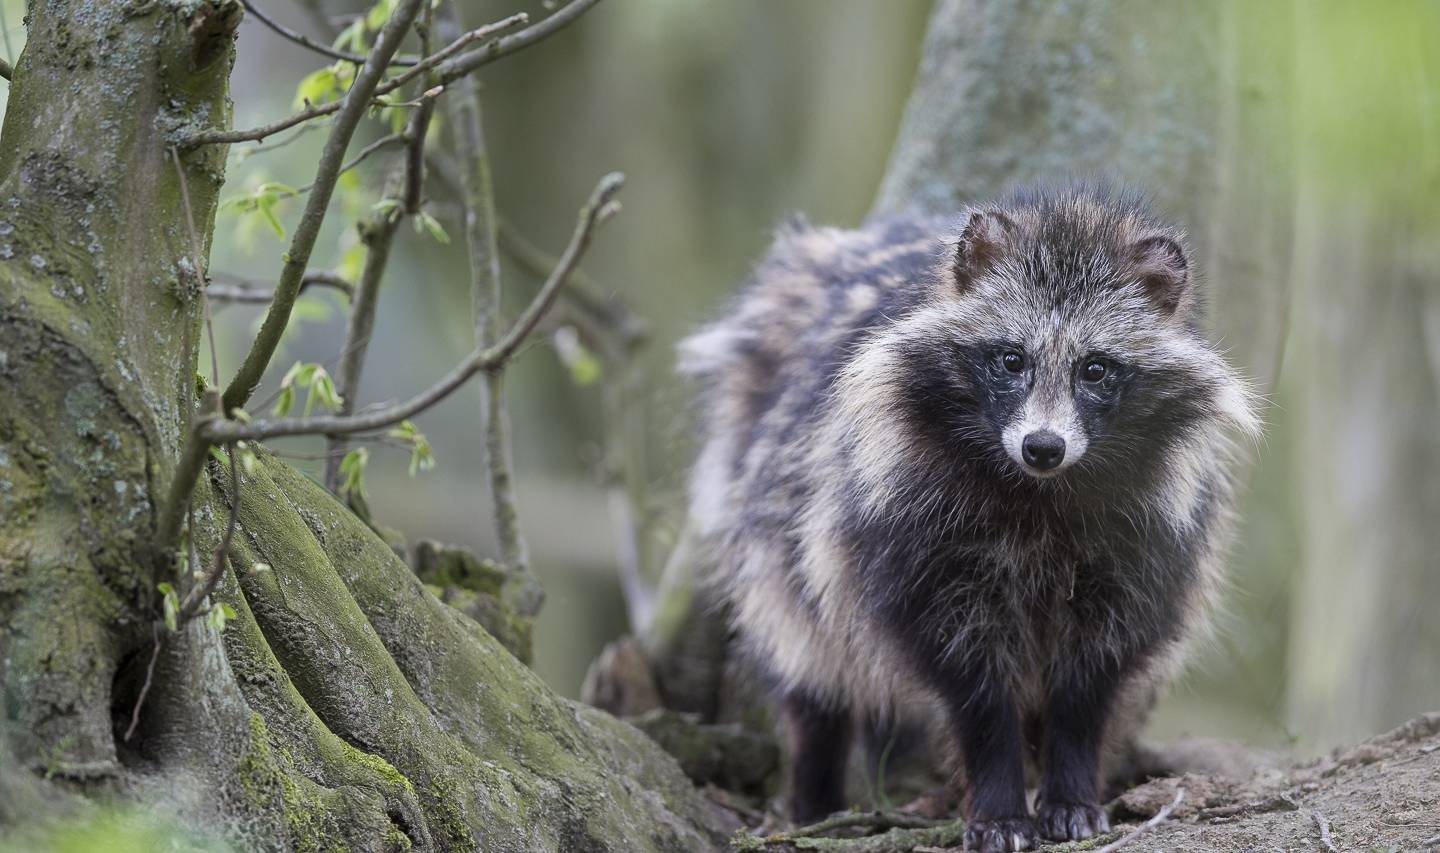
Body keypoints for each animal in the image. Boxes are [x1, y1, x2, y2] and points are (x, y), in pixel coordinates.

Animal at [679, 187, 1255, 853]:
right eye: (1011, 359)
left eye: (1095, 369)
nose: (1042, 446)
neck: (1040, 492)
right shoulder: (913, 522)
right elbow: (969, 673)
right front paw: (999, 798)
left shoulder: (1144, 535)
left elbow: (1092, 672)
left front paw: (1070, 786)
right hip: (767, 506)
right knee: (804, 647)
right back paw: (814, 790)